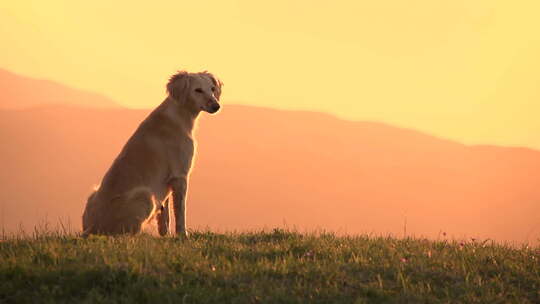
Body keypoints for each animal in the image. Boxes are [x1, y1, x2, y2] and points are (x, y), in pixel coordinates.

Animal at [80, 70, 224, 236]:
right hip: (145, 195)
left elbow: (165, 214)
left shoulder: (166, 182)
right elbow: (180, 211)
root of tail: (91, 228)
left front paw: (165, 235)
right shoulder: (180, 176)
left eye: (212, 88)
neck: (179, 115)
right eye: (198, 90)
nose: (216, 106)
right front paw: (182, 235)